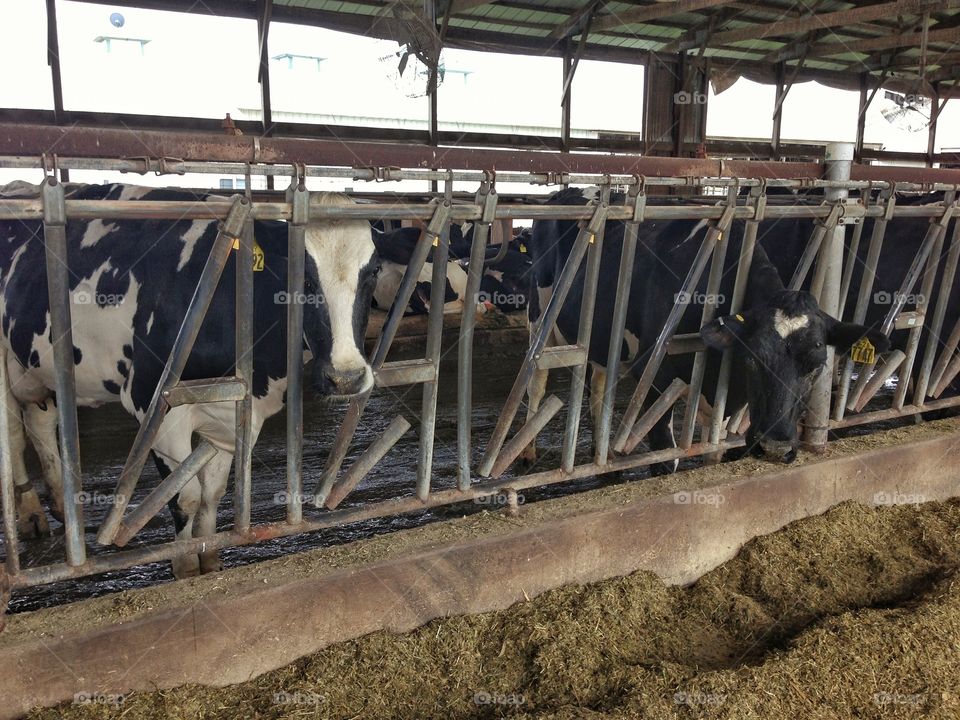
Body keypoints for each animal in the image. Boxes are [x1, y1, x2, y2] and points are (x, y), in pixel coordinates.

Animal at [0, 181, 378, 580]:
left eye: (373, 272)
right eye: (299, 275)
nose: (345, 378)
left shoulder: (231, 411)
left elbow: (212, 493)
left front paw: (209, 558)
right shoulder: (153, 402)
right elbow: (185, 496)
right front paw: (184, 565)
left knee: (40, 422)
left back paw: (60, 504)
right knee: (12, 433)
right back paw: (31, 514)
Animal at [520, 186, 888, 466]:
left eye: (817, 367)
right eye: (752, 359)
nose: (776, 448)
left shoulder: (723, 404)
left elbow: (714, 449)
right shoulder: (654, 373)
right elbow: (666, 456)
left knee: (597, 381)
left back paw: (601, 452)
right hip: (540, 321)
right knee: (537, 382)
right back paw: (527, 455)